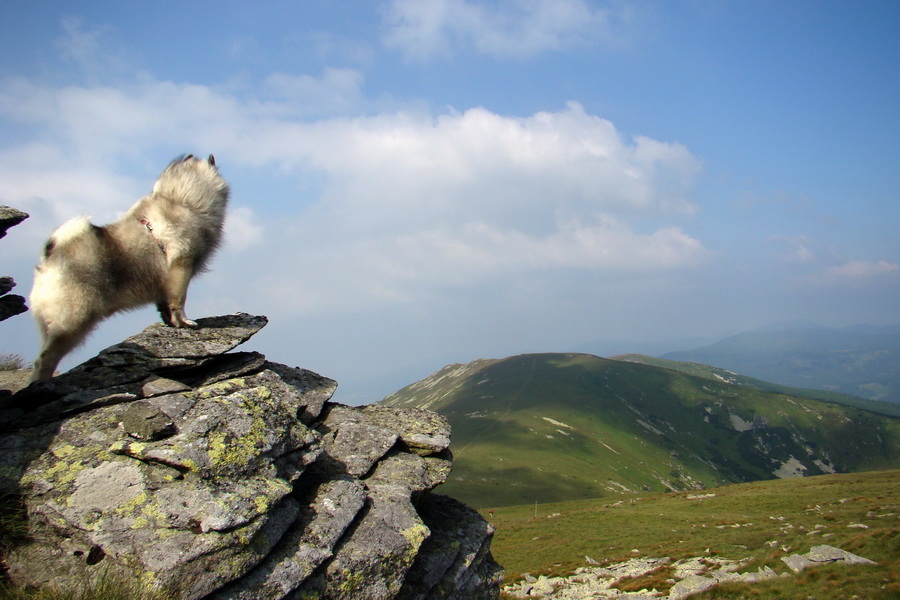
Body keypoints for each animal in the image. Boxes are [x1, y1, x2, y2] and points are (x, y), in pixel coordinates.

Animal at [30, 155, 230, 380]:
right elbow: (178, 301)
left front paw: (170, 322)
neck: (182, 201)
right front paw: (185, 323)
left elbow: (164, 305)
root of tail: (52, 257)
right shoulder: (181, 268)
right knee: (45, 359)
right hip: (74, 321)